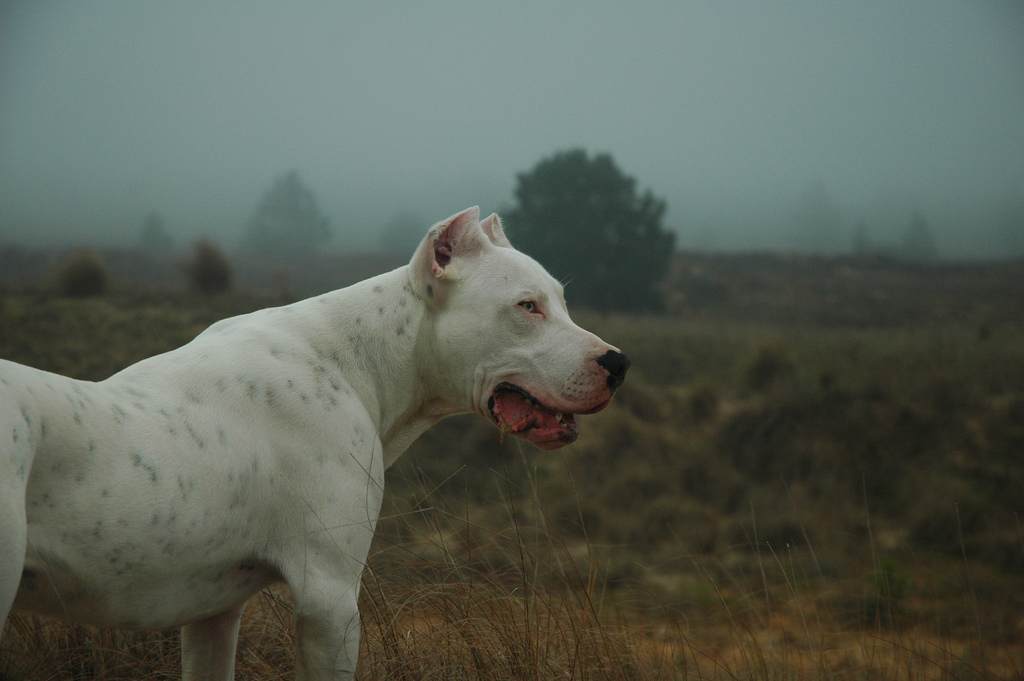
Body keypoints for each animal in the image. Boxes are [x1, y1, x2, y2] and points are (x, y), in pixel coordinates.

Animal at [0, 208, 626, 679]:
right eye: (526, 306)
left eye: (561, 300)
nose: (619, 363)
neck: (360, 359)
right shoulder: (330, 600)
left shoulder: (213, 614)